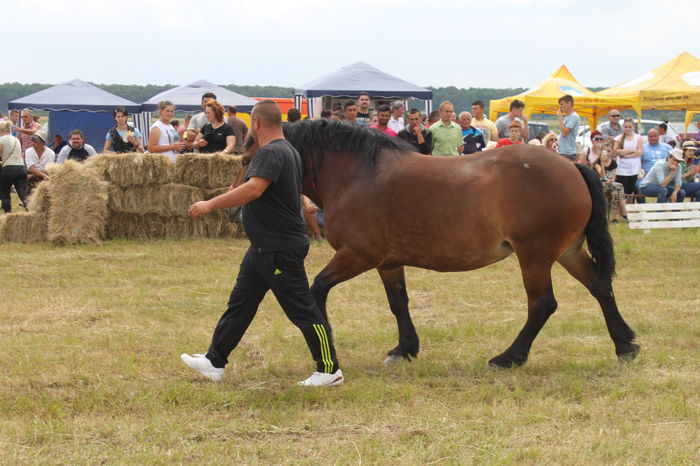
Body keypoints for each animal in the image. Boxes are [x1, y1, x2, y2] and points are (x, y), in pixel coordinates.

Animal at [241, 119, 640, 368]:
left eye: (249, 156)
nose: (241, 205)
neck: (357, 175)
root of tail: (571, 166)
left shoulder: (357, 256)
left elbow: (317, 289)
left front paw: (326, 338)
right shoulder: (388, 263)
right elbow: (398, 303)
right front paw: (405, 349)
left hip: (535, 256)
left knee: (542, 305)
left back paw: (509, 357)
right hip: (567, 252)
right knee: (600, 286)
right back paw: (624, 344)